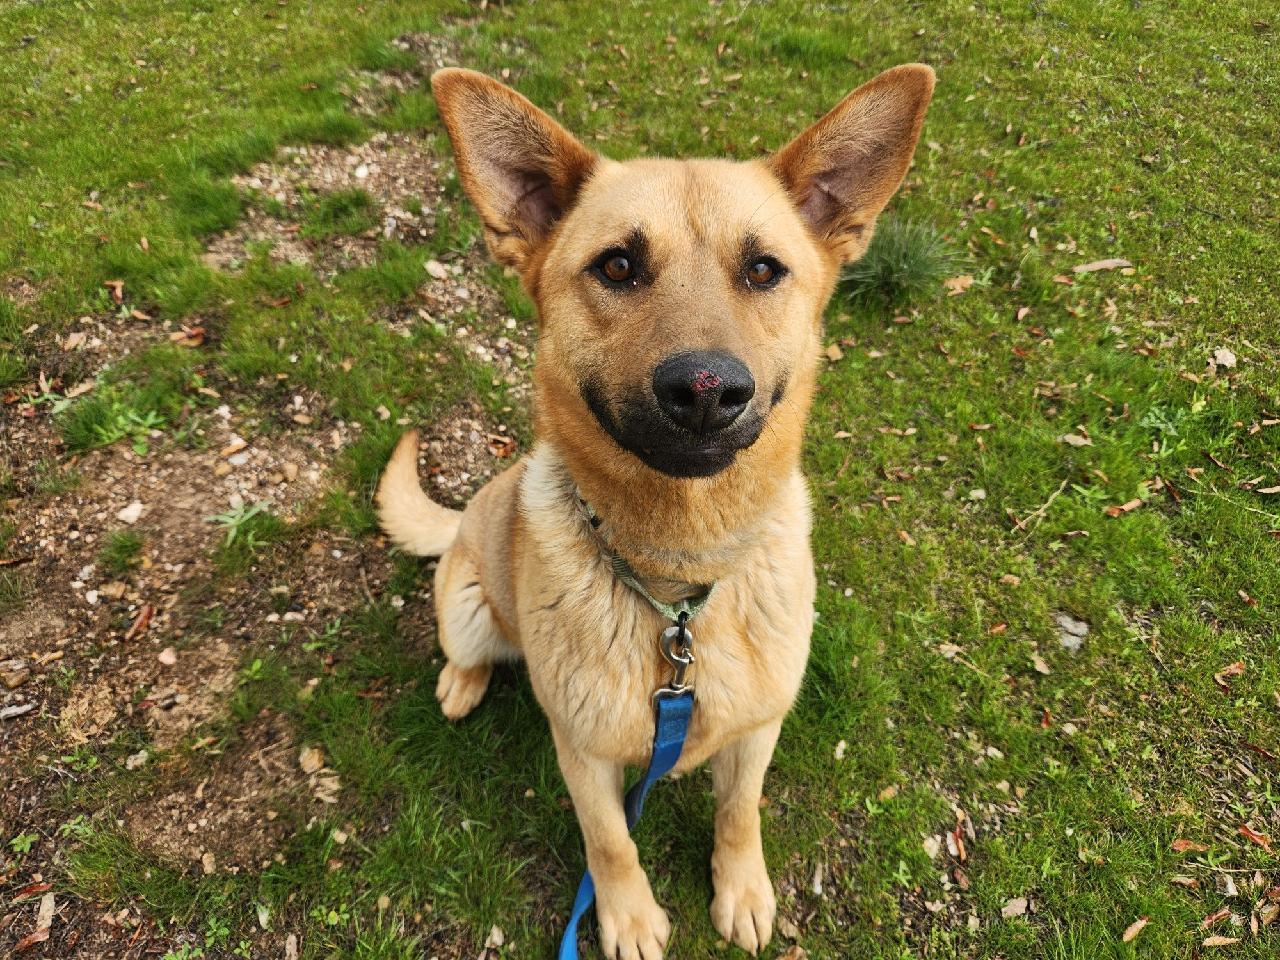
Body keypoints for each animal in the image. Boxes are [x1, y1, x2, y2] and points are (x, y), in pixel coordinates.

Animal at [373, 64, 936, 957]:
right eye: (617, 266)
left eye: (765, 269)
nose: (706, 390)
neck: (677, 590)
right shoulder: (582, 755)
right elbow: (610, 841)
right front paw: (628, 916)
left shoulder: (756, 732)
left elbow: (740, 812)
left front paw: (741, 887)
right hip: (465, 604)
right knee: (468, 648)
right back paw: (462, 681)